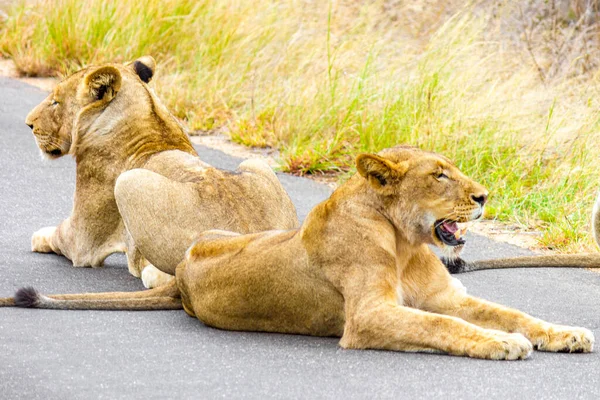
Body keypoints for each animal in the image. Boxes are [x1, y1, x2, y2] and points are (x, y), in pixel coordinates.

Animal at [2, 146, 592, 360]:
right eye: (439, 175)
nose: (484, 196)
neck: (405, 243)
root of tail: (183, 280)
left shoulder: (450, 297)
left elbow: (512, 312)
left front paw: (565, 333)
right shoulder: (367, 317)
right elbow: (443, 326)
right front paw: (503, 344)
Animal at [24, 56, 298, 286]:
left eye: (55, 101)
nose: (29, 124)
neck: (148, 119)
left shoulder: (84, 241)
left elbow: (59, 234)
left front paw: (38, 237)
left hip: (128, 182)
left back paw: (150, 272)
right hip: (255, 163)